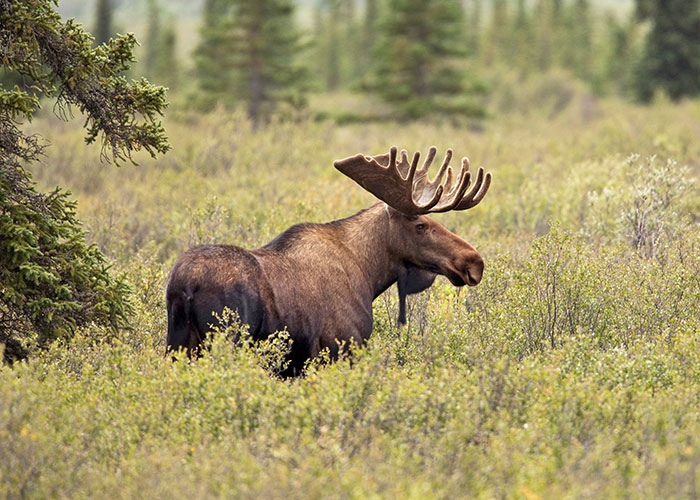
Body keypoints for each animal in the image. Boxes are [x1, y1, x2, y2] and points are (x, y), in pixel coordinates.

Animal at [166, 146, 492, 376]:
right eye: (421, 225)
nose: (473, 262)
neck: (369, 273)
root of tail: (184, 285)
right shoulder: (340, 347)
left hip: (177, 344)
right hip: (226, 341)